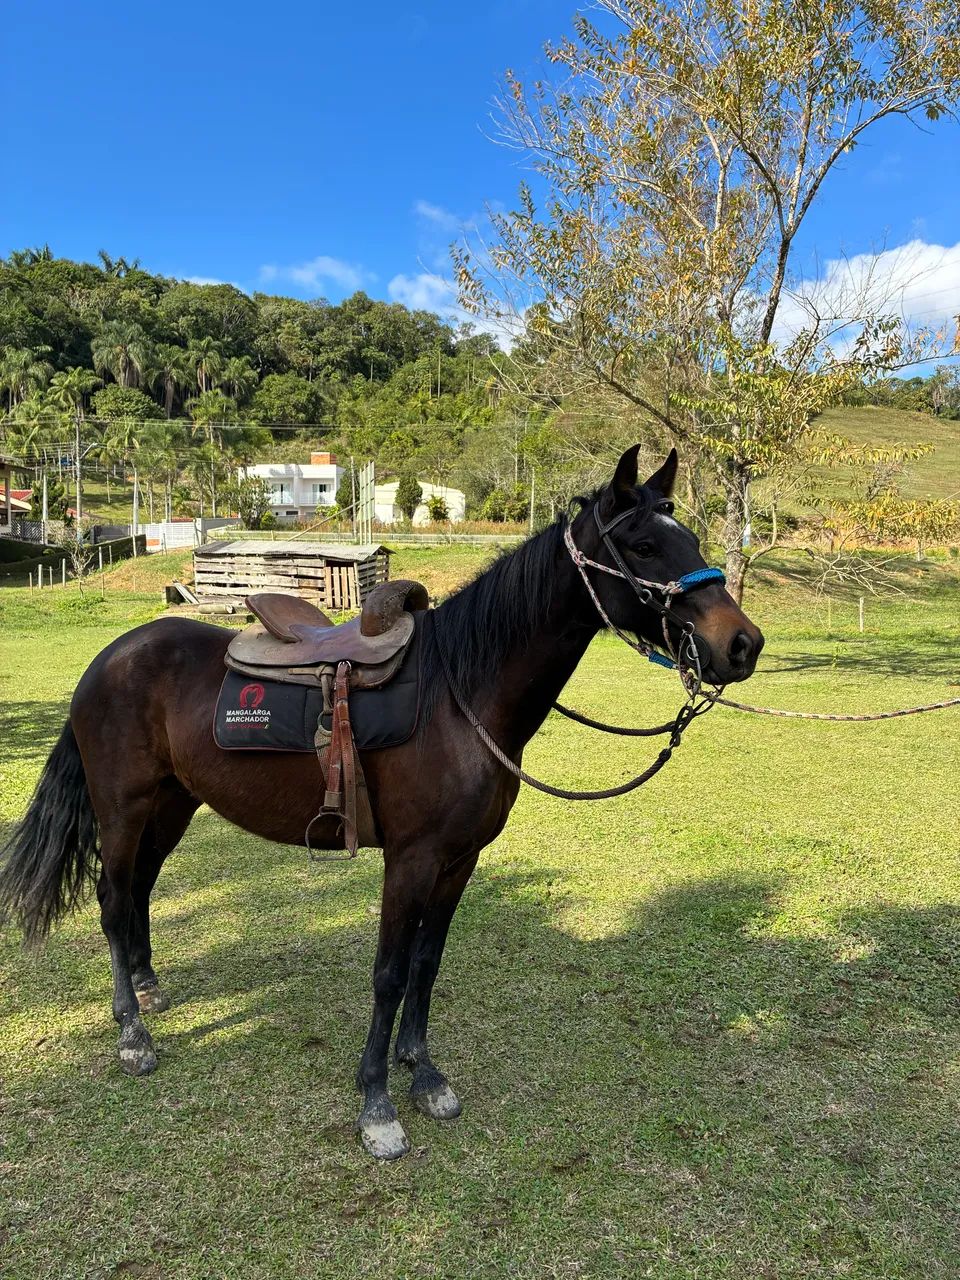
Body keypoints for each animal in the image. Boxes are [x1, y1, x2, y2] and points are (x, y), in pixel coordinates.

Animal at [0, 446, 763, 1160]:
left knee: (139, 891)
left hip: (172, 804)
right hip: (123, 808)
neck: (460, 695)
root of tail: (110, 659)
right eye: (643, 546)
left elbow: (426, 966)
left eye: (690, 536)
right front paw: (376, 1104)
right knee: (111, 898)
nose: (743, 645)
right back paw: (133, 1032)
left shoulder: (458, 862)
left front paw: (423, 1073)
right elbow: (390, 974)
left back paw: (150, 986)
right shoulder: (411, 860)